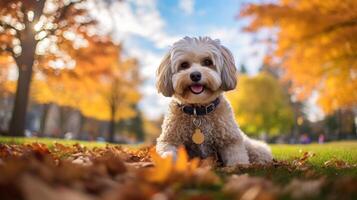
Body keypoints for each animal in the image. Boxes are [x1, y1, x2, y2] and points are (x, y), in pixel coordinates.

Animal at [154, 36, 272, 166]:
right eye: (184, 65)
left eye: (207, 62)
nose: (195, 75)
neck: (198, 110)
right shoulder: (169, 140)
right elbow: (168, 153)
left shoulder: (230, 140)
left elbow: (237, 159)